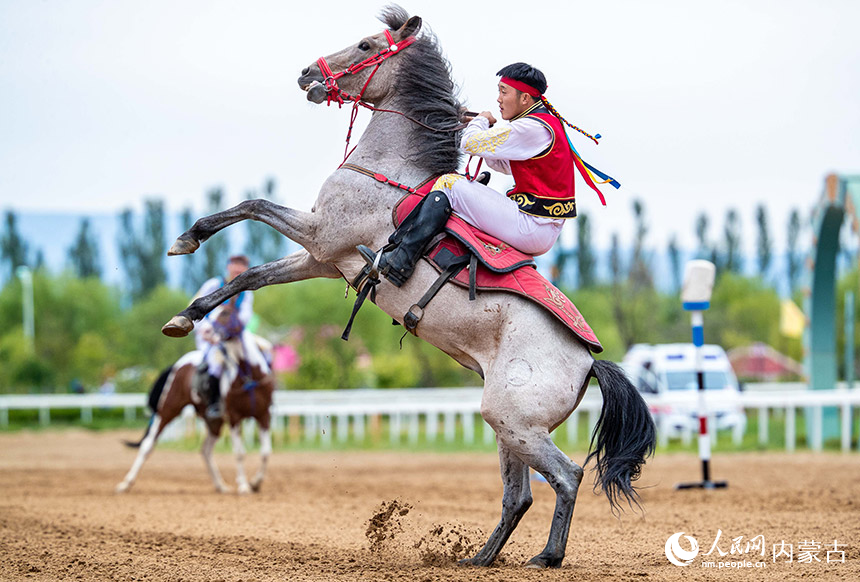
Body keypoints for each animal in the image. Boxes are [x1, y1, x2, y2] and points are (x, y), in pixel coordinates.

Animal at [115, 335, 276, 495]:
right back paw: (125, 484)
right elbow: (239, 453)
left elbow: (266, 452)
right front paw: (243, 485)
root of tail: (178, 364)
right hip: (168, 409)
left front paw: (255, 483)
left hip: (214, 422)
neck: (248, 376)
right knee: (148, 445)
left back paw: (221, 486)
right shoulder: (234, 417)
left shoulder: (264, 415)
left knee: (206, 450)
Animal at [157, 5, 655, 568]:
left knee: (566, 476)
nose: (306, 74)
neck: (385, 170)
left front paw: (187, 238)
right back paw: (478, 559)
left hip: (513, 421)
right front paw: (186, 315)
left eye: (366, 43)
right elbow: (250, 275)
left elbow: (251, 205)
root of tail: (589, 360)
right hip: (508, 428)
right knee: (519, 495)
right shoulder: (322, 258)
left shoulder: (319, 233)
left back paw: (547, 556)